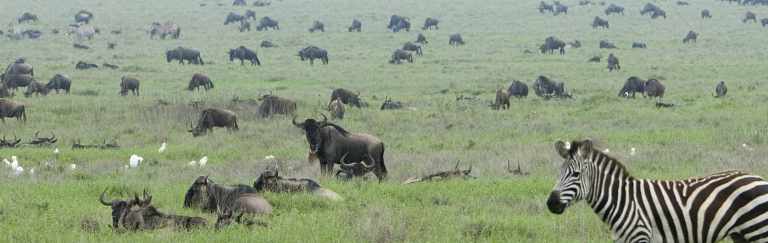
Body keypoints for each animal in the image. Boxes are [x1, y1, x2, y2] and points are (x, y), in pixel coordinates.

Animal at [548, 140, 768, 242]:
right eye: (559, 173)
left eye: (576, 174)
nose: (551, 203)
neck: (622, 201)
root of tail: (759, 178)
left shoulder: (641, 236)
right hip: (741, 235)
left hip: (758, 231)